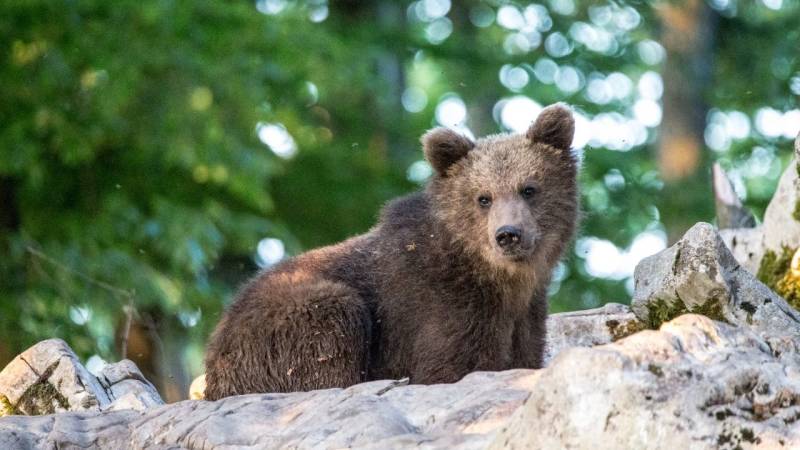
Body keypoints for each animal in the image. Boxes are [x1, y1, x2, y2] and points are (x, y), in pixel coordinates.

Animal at [203, 103, 580, 400]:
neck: (497, 278)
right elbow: (449, 366)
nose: (508, 235)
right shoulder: (441, 308)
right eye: (483, 197)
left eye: (529, 188)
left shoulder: (524, 315)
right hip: (281, 325)